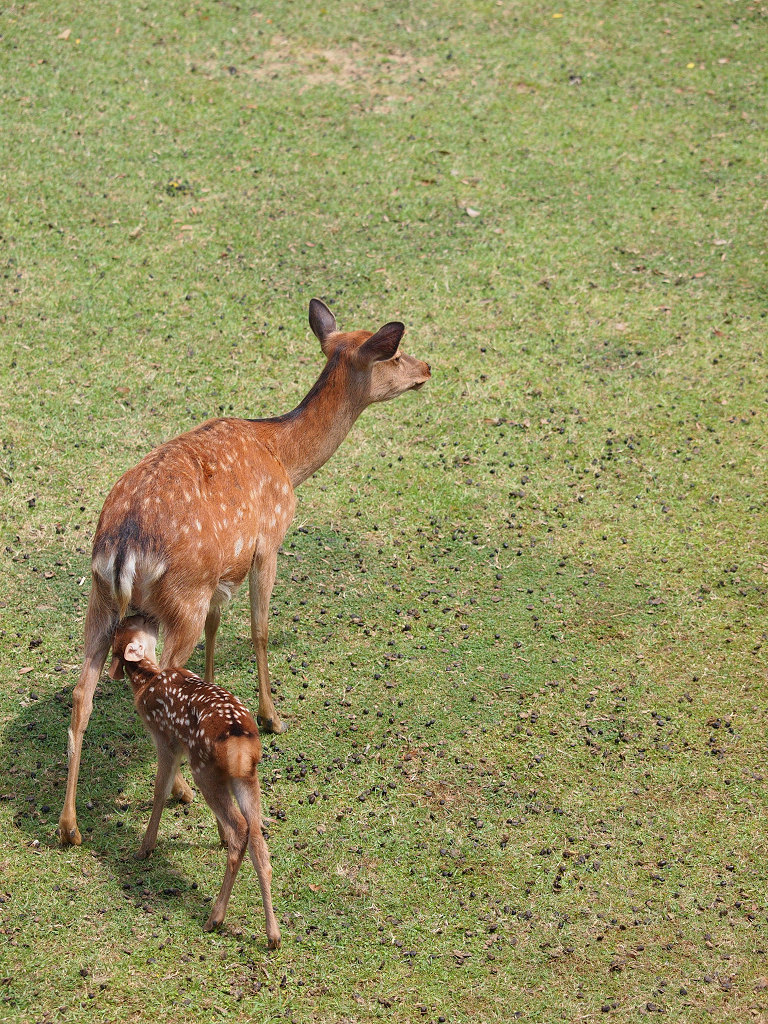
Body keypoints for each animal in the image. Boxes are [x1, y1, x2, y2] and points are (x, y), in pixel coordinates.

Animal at [58, 299, 434, 843]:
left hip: (102, 597)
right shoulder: (266, 542)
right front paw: (272, 717)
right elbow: (259, 629)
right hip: (179, 597)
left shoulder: (220, 577)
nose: (427, 368)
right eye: (395, 353)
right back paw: (180, 790)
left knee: (81, 694)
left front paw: (215, 697)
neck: (285, 457)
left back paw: (69, 827)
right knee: (159, 676)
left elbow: (218, 632)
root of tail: (123, 546)